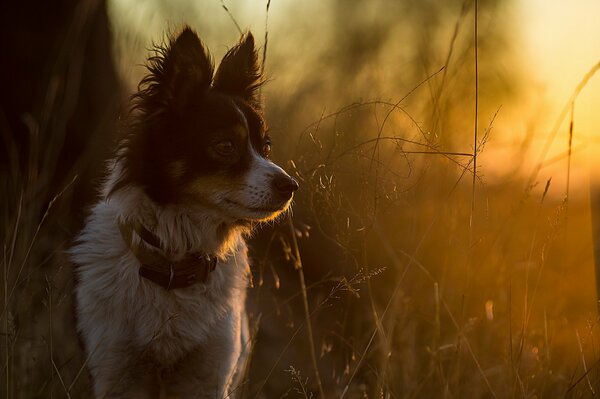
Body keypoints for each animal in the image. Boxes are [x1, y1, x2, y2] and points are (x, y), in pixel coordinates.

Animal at [70, 26, 298, 398]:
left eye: (265, 146)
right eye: (225, 146)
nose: (291, 186)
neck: (174, 266)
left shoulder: (208, 374)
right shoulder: (116, 369)